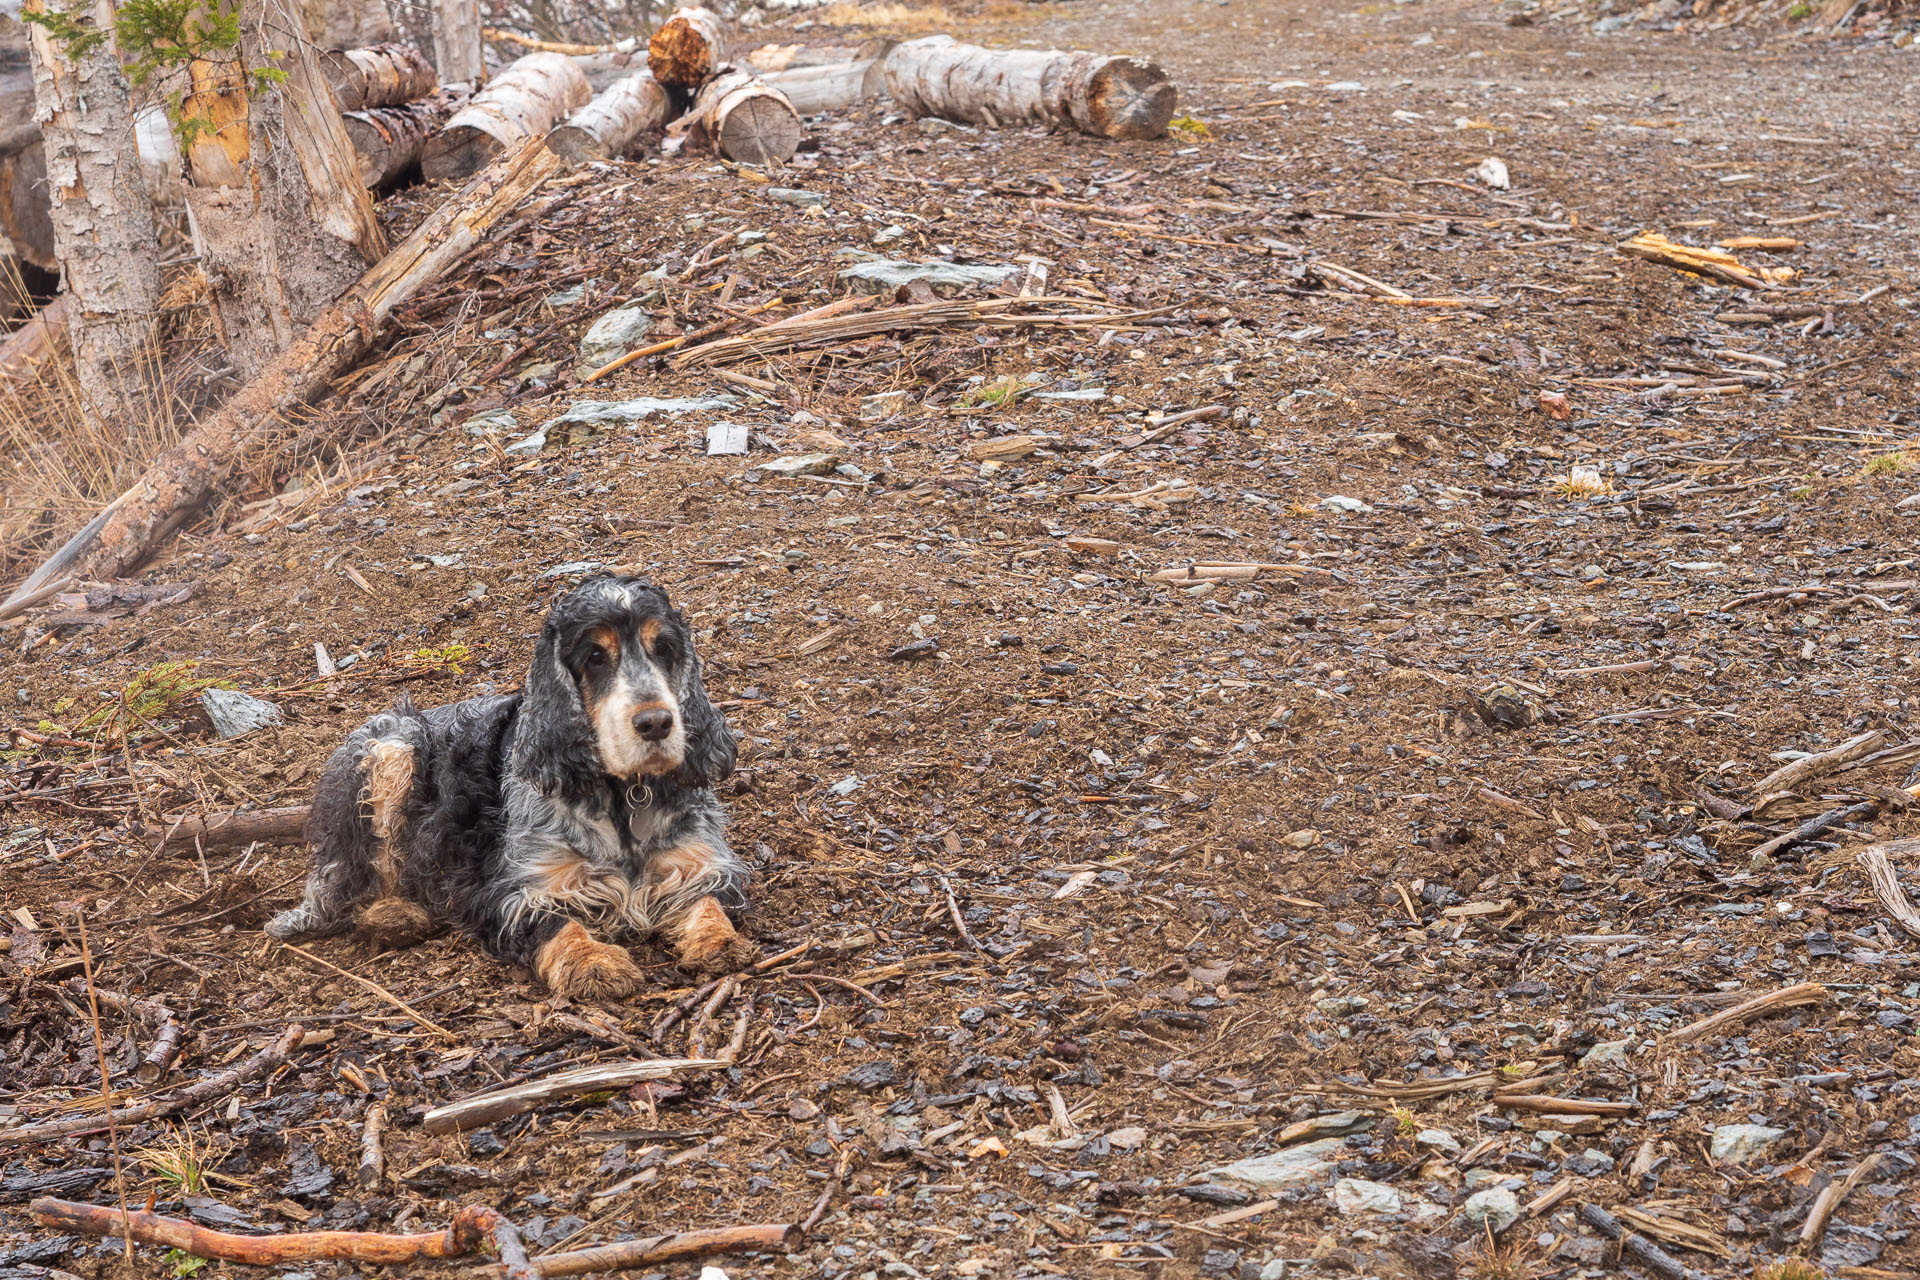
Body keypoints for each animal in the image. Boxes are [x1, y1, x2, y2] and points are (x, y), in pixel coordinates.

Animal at [264, 571, 756, 997]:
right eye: (595, 656)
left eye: (665, 648)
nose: (656, 723)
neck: (622, 796)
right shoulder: (515, 891)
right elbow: (558, 923)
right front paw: (594, 963)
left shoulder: (699, 862)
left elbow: (708, 902)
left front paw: (720, 941)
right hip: (392, 748)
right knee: (353, 879)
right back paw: (394, 914)